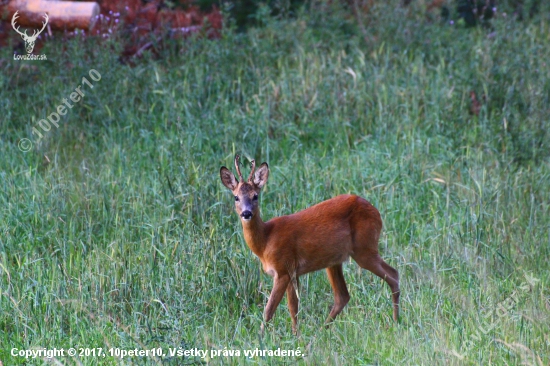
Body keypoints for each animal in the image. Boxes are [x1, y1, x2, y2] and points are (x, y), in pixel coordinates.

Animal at [221, 156, 402, 334]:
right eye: (236, 197)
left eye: (255, 196)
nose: (246, 213)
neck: (265, 240)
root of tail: (376, 212)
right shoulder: (292, 272)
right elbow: (293, 308)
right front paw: (296, 335)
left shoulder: (283, 269)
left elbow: (270, 310)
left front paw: (263, 337)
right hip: (335, 260)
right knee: (342, 296)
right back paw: (323, 329)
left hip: (364, 248)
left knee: (393, 274)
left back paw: (395, 322)